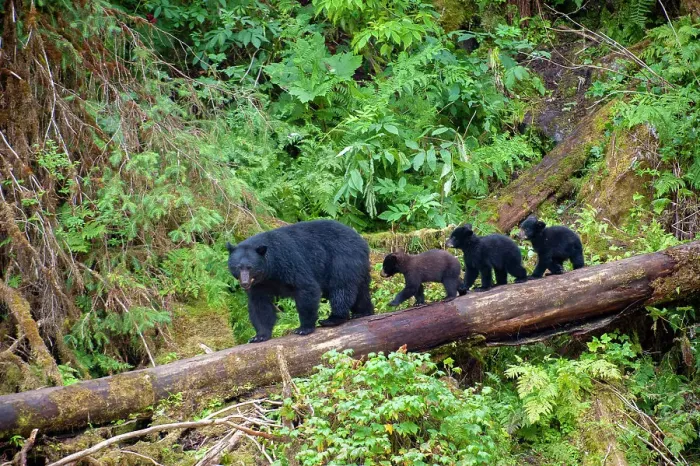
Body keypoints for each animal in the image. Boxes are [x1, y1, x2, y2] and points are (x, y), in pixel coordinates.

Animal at [226, 219, 374, 343]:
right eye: (238, 267)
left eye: (250, 267)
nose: (245, 283)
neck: (271, 270)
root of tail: (362, 241)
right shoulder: (260, 284)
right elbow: (259, 305)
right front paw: (259, 336)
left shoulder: (288, 261)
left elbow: (306, 288)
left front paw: (304, 328)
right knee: (361, 290)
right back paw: (363, 312)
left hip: (342, 259)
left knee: (341, 288)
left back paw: (333, 319)